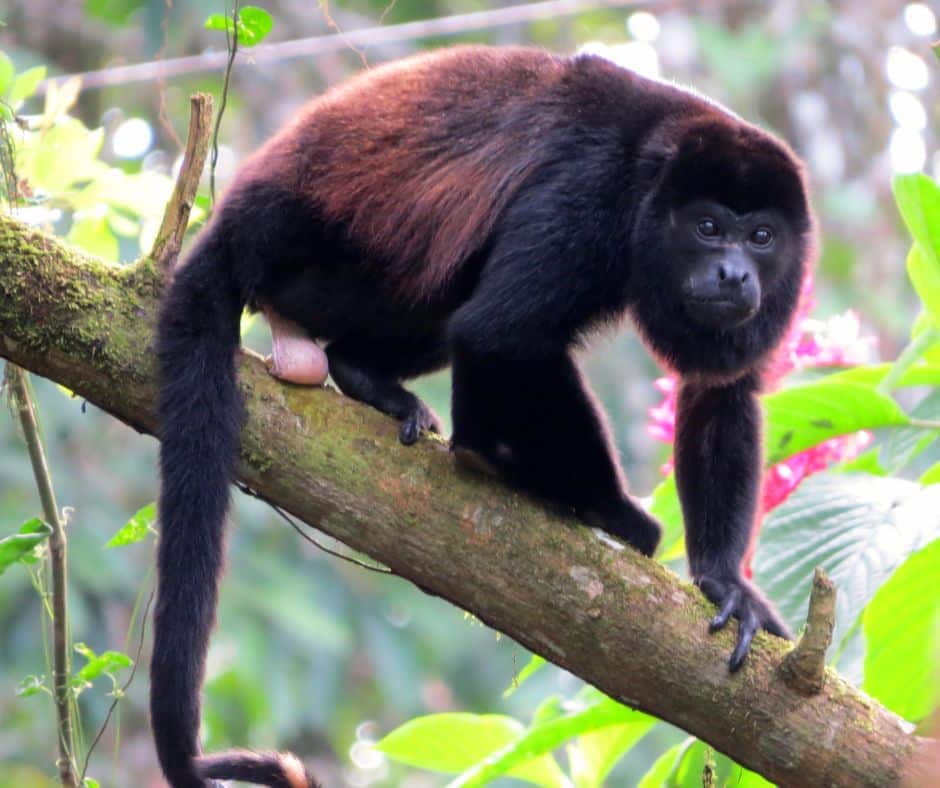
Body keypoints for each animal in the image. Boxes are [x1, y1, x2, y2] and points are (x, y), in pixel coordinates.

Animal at [153, 45, 813, 788]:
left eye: (761, 236)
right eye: (707, 228)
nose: (734, 273)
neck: (653, 175)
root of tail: (236, 217)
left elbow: (723, 390)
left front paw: (726, 583)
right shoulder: (589, 197)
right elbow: (501, 332)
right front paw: (613, 511)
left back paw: (371, 380)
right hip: (310, 257)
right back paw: (488, 453)